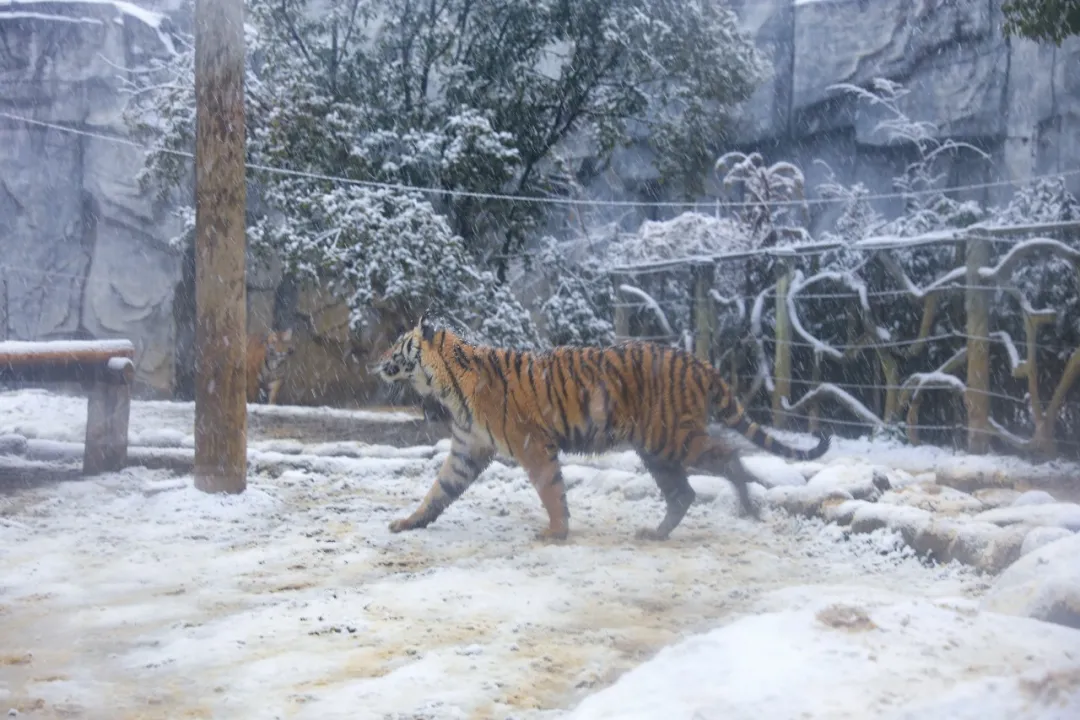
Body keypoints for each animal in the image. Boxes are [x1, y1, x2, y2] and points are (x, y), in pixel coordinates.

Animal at [375, 315, 829, 539]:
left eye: (397, 346)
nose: (377, 363)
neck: (447, 385)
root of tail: (700, 363)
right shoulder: (468, 449)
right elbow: (438, 491)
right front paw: (408, 523)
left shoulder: (533, 445)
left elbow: (551, 490)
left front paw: (557, 532)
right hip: (657, 449)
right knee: (683, 493)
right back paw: (655, 534)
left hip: (673, 438)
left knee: (729, 455)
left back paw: (749, 508)